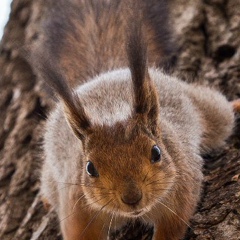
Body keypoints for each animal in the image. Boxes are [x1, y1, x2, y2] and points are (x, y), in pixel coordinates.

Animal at [33, 0, 240, 240]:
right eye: (90, 168)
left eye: (156, 152)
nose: (131, 198)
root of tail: (105, 74)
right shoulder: (78, 206)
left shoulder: (181, 188)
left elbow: (172, 225)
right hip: (52, 175)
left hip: (208, 112)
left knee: (220, 114)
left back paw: (235, 105)